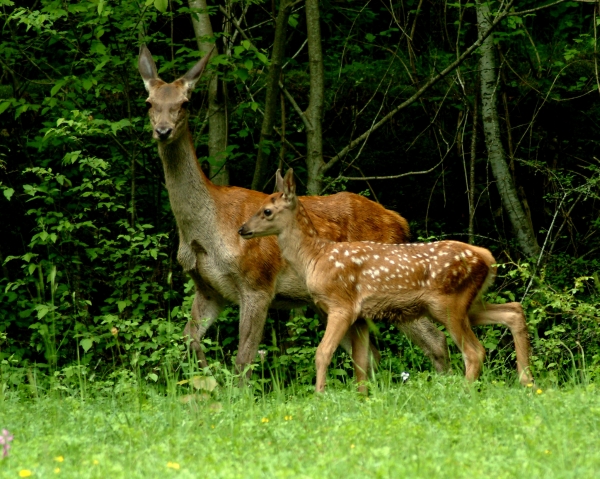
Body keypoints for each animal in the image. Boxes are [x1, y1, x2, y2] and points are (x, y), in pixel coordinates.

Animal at [138, 45, 450, 376]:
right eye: (149, 102)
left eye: (185, 102)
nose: (163, 130)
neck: (204, 232)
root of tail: (401, 223)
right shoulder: (209, 290)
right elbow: (189, 338)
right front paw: (208, 381)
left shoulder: (257, 282)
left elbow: (243, 358)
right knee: (371, 353)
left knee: (435, 339)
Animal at [237, 171, 532, 392]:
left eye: (266, 211)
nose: (242, 229)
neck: (315, 257)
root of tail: (486, 257)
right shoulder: (360, 317)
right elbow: (361, 362)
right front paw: (362, 397)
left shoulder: (341, 305)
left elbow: (323, 353)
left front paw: (320, 395)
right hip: (468, 303)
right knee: (514, 310)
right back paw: (527, 381)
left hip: (449, 304)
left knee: (475, 350)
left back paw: (467, 391)